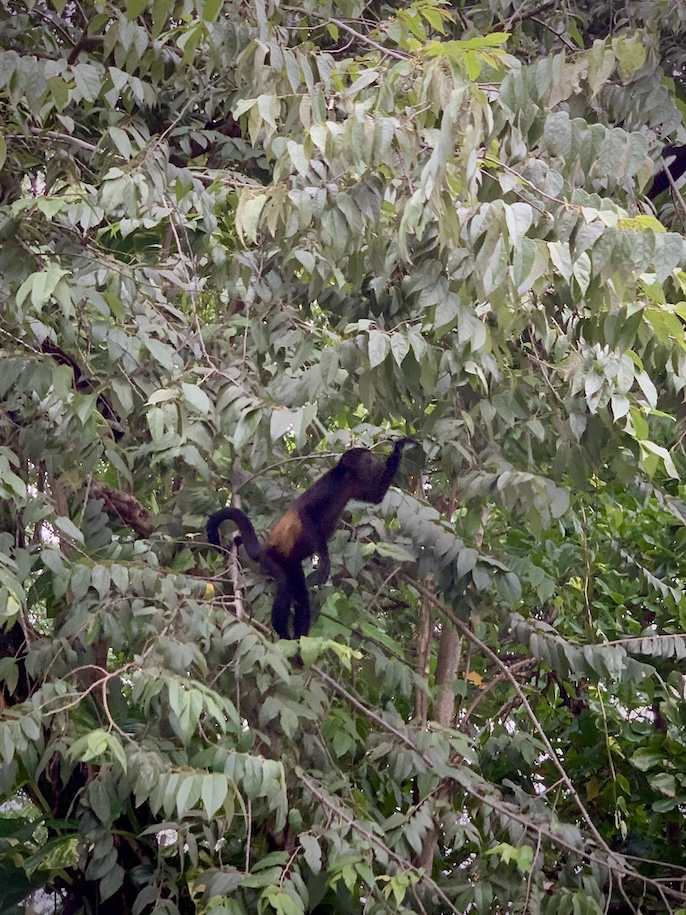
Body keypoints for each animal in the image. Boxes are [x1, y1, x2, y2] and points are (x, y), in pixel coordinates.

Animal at [207, 440, 416, 640]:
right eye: (369, 458)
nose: (378, 462)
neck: (347, 476)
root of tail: (264, 549)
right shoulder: (331, 485)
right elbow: (306, 513)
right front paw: (324, 559)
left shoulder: (355, 486)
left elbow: (376, 498)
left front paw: (401, 445)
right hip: (272, 559)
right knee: (284, 584)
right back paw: (282, 632)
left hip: (291, 564)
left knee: (301, 595)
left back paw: (299, 638)